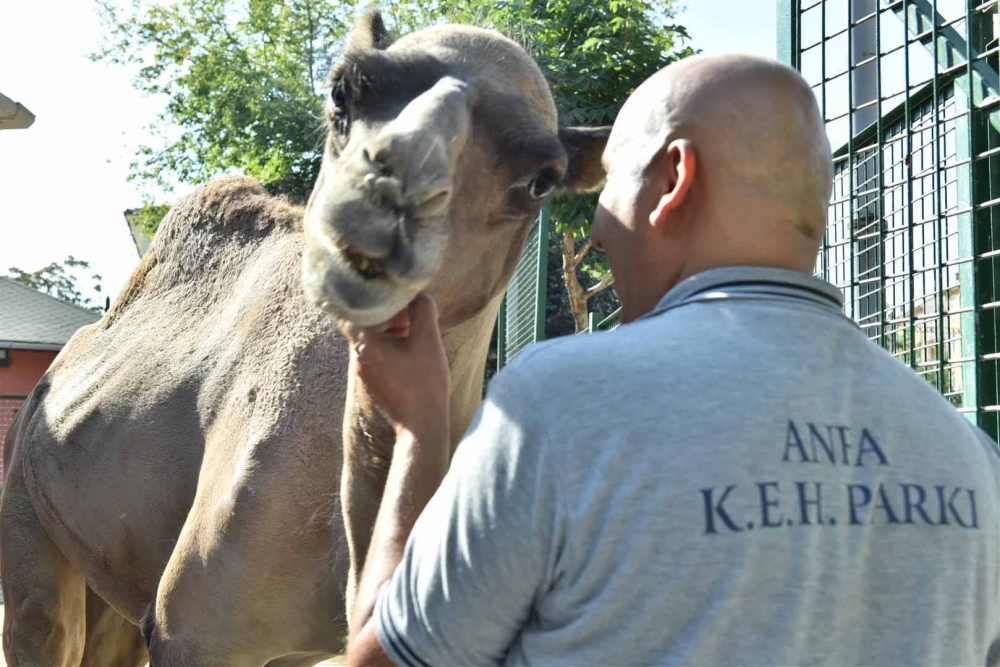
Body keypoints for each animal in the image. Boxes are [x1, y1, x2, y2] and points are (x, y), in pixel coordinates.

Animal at [0, 11, 604, 667]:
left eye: (541, 181)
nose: (381, 197)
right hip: (26, 505)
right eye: (342, 92)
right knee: (44, 620)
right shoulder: (193, 631)